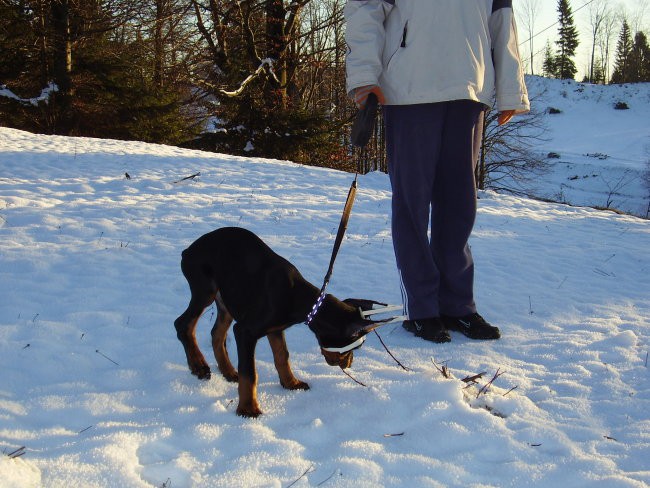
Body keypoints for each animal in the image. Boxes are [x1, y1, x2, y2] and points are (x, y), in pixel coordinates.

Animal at [173, 226, 380, 416]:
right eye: (354, 347)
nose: (349, 364)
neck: (297, 297)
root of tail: (188, 251)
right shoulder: (245, 332)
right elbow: (249, 372)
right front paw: (248, 409)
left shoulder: (275, 329)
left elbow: (282, 356)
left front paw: (291, 383)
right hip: (205, 291)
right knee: (183, 324)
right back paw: (199, 366)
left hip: (226, 301)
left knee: (216, 333)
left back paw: (228, 371)